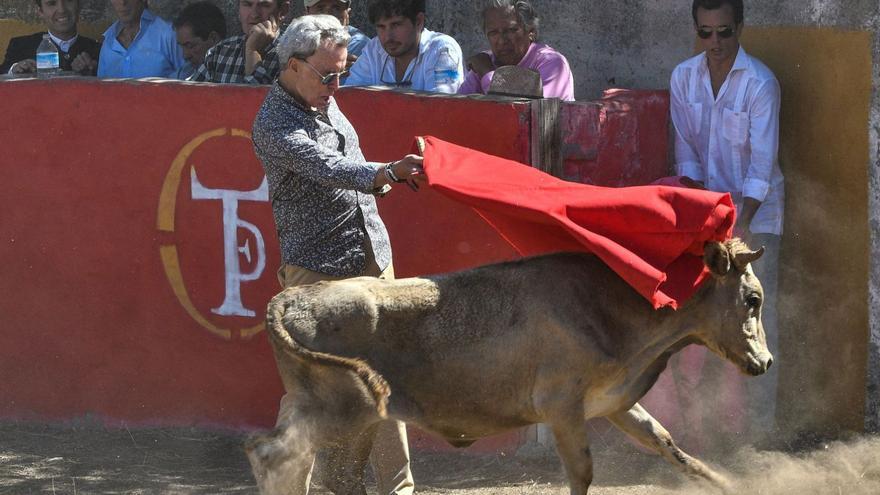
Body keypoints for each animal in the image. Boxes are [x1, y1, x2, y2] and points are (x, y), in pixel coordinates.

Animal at [248, 238, 768, 494]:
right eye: (753, 299)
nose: (765, 361)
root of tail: (292, 297)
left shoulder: (614, 401)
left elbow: (668, 444)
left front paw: (733, 483)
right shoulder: (562, 406)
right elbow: (582, 472)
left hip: (311, 408)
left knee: (281, 456)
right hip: (339, 411)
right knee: (274, 456)